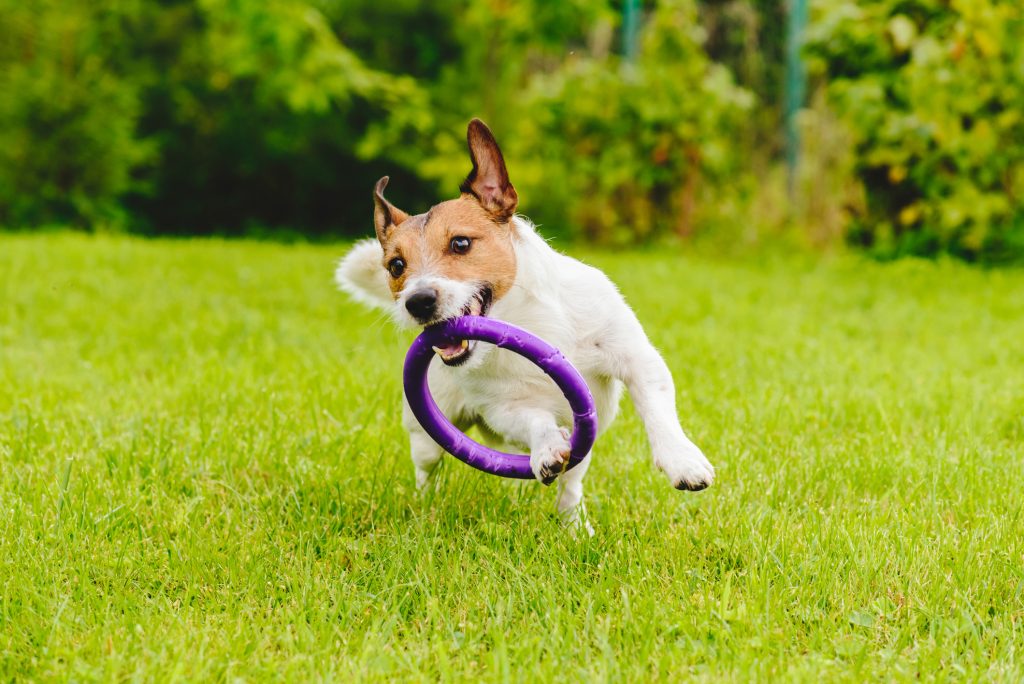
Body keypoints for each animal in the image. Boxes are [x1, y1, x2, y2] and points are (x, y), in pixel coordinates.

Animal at [335, 118, 712, 532]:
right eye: (396, 266)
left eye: (461, 243)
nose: (417, 302)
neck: (526, 320)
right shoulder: (506, 408)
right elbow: (536, 421)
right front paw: (546, 447)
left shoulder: (635, 357)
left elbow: (656, 406)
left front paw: (682, 461)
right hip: (427, 432)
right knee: (427, 467)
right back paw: (426, 506)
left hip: (582, 450)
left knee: (571, 485)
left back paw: (575, 526)